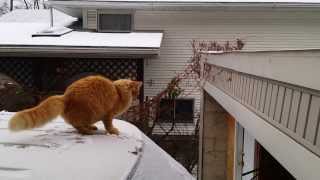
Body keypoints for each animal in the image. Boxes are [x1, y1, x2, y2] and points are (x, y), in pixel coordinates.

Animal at [8, 75, 142, 135]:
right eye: (136, 91)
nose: (137, 96)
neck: (118, 92)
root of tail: (65, 96)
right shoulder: (108, 115)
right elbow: (109, 126)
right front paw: (113, 131)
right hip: (89, 112)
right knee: (77, 125)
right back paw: (88, 131)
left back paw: (90, 128)